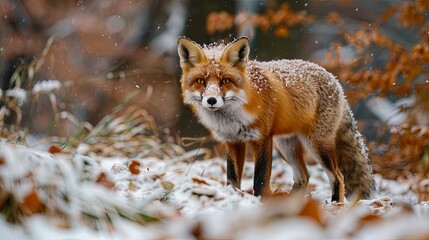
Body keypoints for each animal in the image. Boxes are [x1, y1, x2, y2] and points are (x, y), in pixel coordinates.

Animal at [177, 36, 374, 202]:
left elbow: (260, 179)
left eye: (225, 81)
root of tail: (334, 79)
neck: (232, 118)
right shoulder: (232, 140)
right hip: (286, 146)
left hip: (316, 145)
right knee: (304, 177)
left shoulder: (262, 138)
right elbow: (232, 178)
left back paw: (335, 204)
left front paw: (259, 202)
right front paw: (234, 195)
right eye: (200, 81)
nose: (211, 100)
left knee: (338, 177)